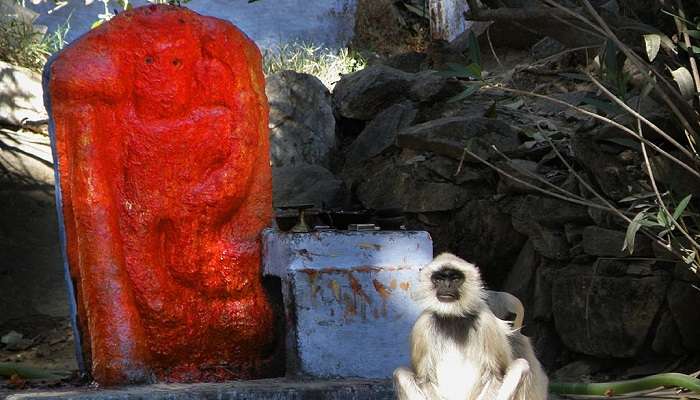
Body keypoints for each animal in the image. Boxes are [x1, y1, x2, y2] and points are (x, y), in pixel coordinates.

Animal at [394, 253, 548, 400]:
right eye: (439, 279)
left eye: (455, 279)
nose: (447, 285)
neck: (453, 317)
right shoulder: (423, 323)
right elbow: (424, 379)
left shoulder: (486, 320)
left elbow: (495, 377)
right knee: (400, 373)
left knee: (521, 365)